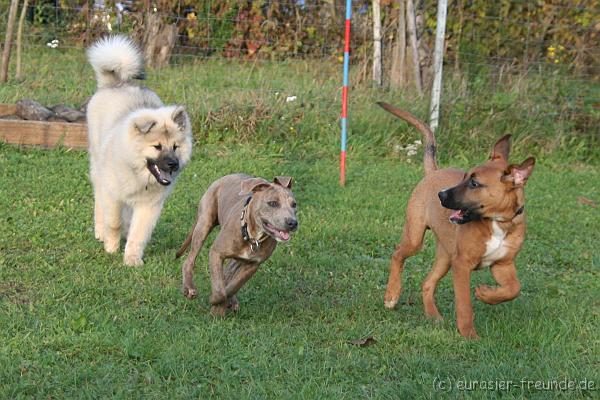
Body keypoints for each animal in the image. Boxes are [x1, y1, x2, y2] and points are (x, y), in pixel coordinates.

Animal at [86, 35, 192, 266]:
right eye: (157, 146)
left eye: (175, 147)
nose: (173, 164)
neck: (139, 174)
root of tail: (116, 83)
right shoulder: (113, 195)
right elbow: (114, 222)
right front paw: (111, 248)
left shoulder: (149, 205)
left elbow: (139, 233)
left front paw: (132, 260)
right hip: (98, 169)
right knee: (99, 202)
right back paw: (100, 231)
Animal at [176, 174, 298, 316]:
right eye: (273, 203)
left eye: (294, 204)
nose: (293, 223)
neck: (252, 235)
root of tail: (225, 176)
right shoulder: (216, 253)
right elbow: (220, 290)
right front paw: (215, 301)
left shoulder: (252, 266)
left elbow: (233, 286)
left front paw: (220, 305)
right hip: (204, 224)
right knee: (190, 259)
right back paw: (189, 287)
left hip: (236, 259)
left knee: (227, 273)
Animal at [378, 102, 536, 338]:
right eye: (464, 177)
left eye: (474, 184)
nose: (441, 195)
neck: (498, 222)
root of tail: (432, 172)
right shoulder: (462, 265)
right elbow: (464, 305)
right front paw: (469, 335)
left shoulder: (502, 264)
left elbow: (513, 289)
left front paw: (486, 294)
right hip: (415, 238)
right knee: (397, 255)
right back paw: (391, 295)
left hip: (445, 256)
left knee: (428, 282)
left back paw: (433, 315)